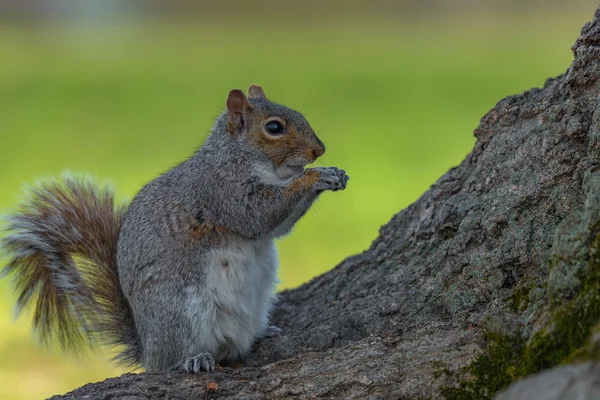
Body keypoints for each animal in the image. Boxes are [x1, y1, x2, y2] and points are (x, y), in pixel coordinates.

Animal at [0, 86, 350, 374]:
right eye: (274, 127)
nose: (319, 150)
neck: (239, 156)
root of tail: (148, 351)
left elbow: (276, 228)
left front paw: (334, 173)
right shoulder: (222, 191)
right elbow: (258, 216)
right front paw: (315, 176)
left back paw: (261, 333)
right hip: (181, 311)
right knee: (174, 360)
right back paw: (193, 360)